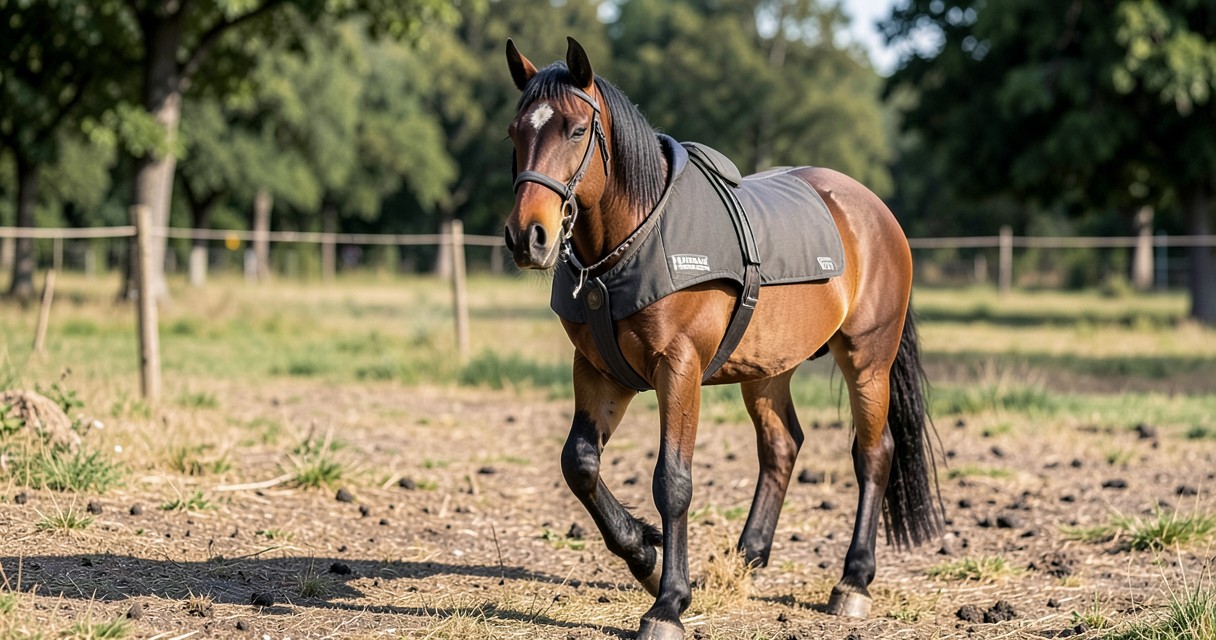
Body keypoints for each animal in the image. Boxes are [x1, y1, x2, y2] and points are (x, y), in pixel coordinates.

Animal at [502, 37, 942, 640]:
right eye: (514, 132)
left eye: (574, 130)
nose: (529, 236)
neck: (634, 241)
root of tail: (876, 212)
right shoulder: (597, 370)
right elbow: (580, 465)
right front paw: (644, 555)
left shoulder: (679, 369)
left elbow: (673, 482)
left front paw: (667, 603)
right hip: (768, 369)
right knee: (782, 447)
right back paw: (746, 559)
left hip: (868, 360)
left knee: (874, 455)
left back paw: (853, 581)